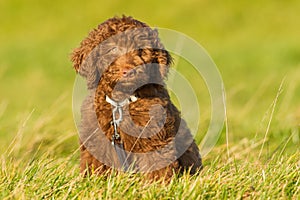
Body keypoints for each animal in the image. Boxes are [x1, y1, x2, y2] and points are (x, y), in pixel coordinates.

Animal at [70, 16, 202, 181]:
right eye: (112, 49)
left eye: (141, 50)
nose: (128, 70)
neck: (121, 102)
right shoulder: (97, 140)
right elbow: (96, 165)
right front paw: (93, 181)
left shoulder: (153, 137)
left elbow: (156, 166)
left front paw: (156, 184)